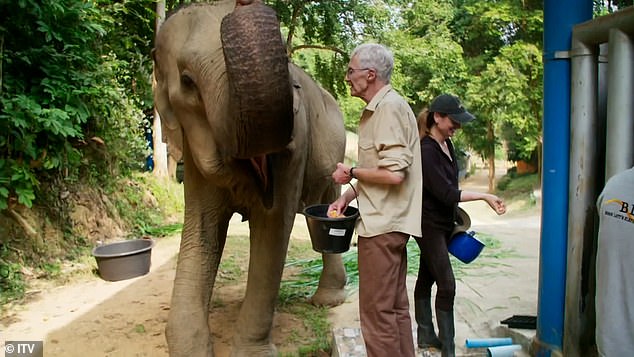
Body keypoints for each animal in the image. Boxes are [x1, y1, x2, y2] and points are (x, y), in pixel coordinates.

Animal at [152, 1, 346, 354]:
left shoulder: (297, 140)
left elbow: (273, 226)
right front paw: (190, 348)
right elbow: (202, 228)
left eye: (286, 62)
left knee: (323, 206)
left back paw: (326, 301)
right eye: (187, 81)